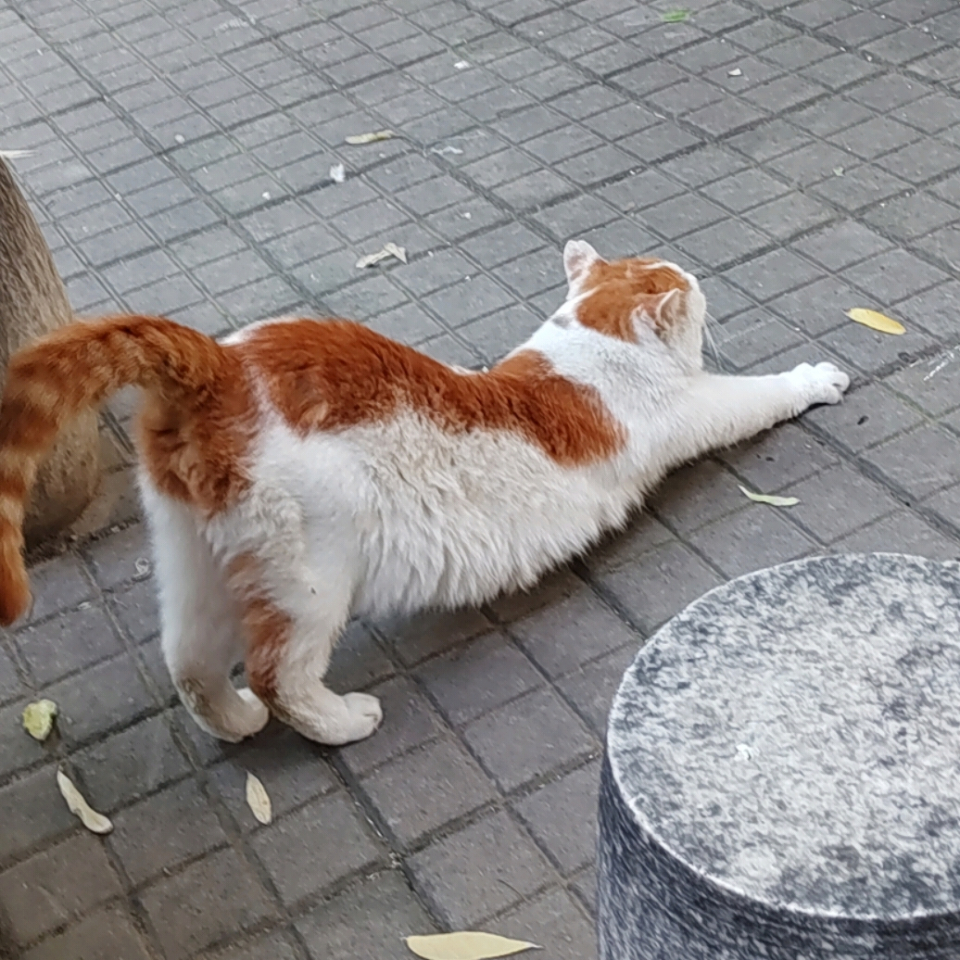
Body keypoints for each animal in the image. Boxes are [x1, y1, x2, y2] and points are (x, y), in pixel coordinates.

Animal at [0, 240, 849, 746]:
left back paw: (235, 721)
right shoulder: (691, 411)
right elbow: (756, 396)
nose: (695, 275)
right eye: (685, 286)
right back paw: (339, 721)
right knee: (279, 673)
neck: (585, 347)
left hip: (195, 558)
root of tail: (218, 364)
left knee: (189, 663)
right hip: (310, 575)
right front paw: (817, 378)